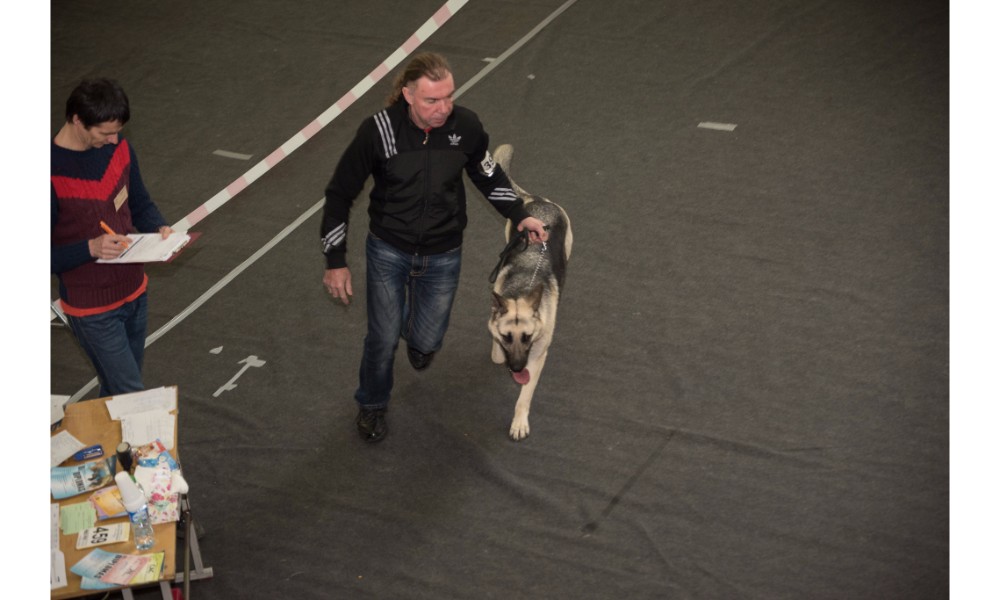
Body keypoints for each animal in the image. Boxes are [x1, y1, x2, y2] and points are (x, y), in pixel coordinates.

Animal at [488, 144, 573, 440]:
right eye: (507, 337)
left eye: (527, 337)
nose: (516, 369)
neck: (522, 288)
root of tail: (537, 199)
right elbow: (495, 348)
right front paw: (498, 353)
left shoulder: (537, 357)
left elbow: (524, 396)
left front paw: (519, 422)